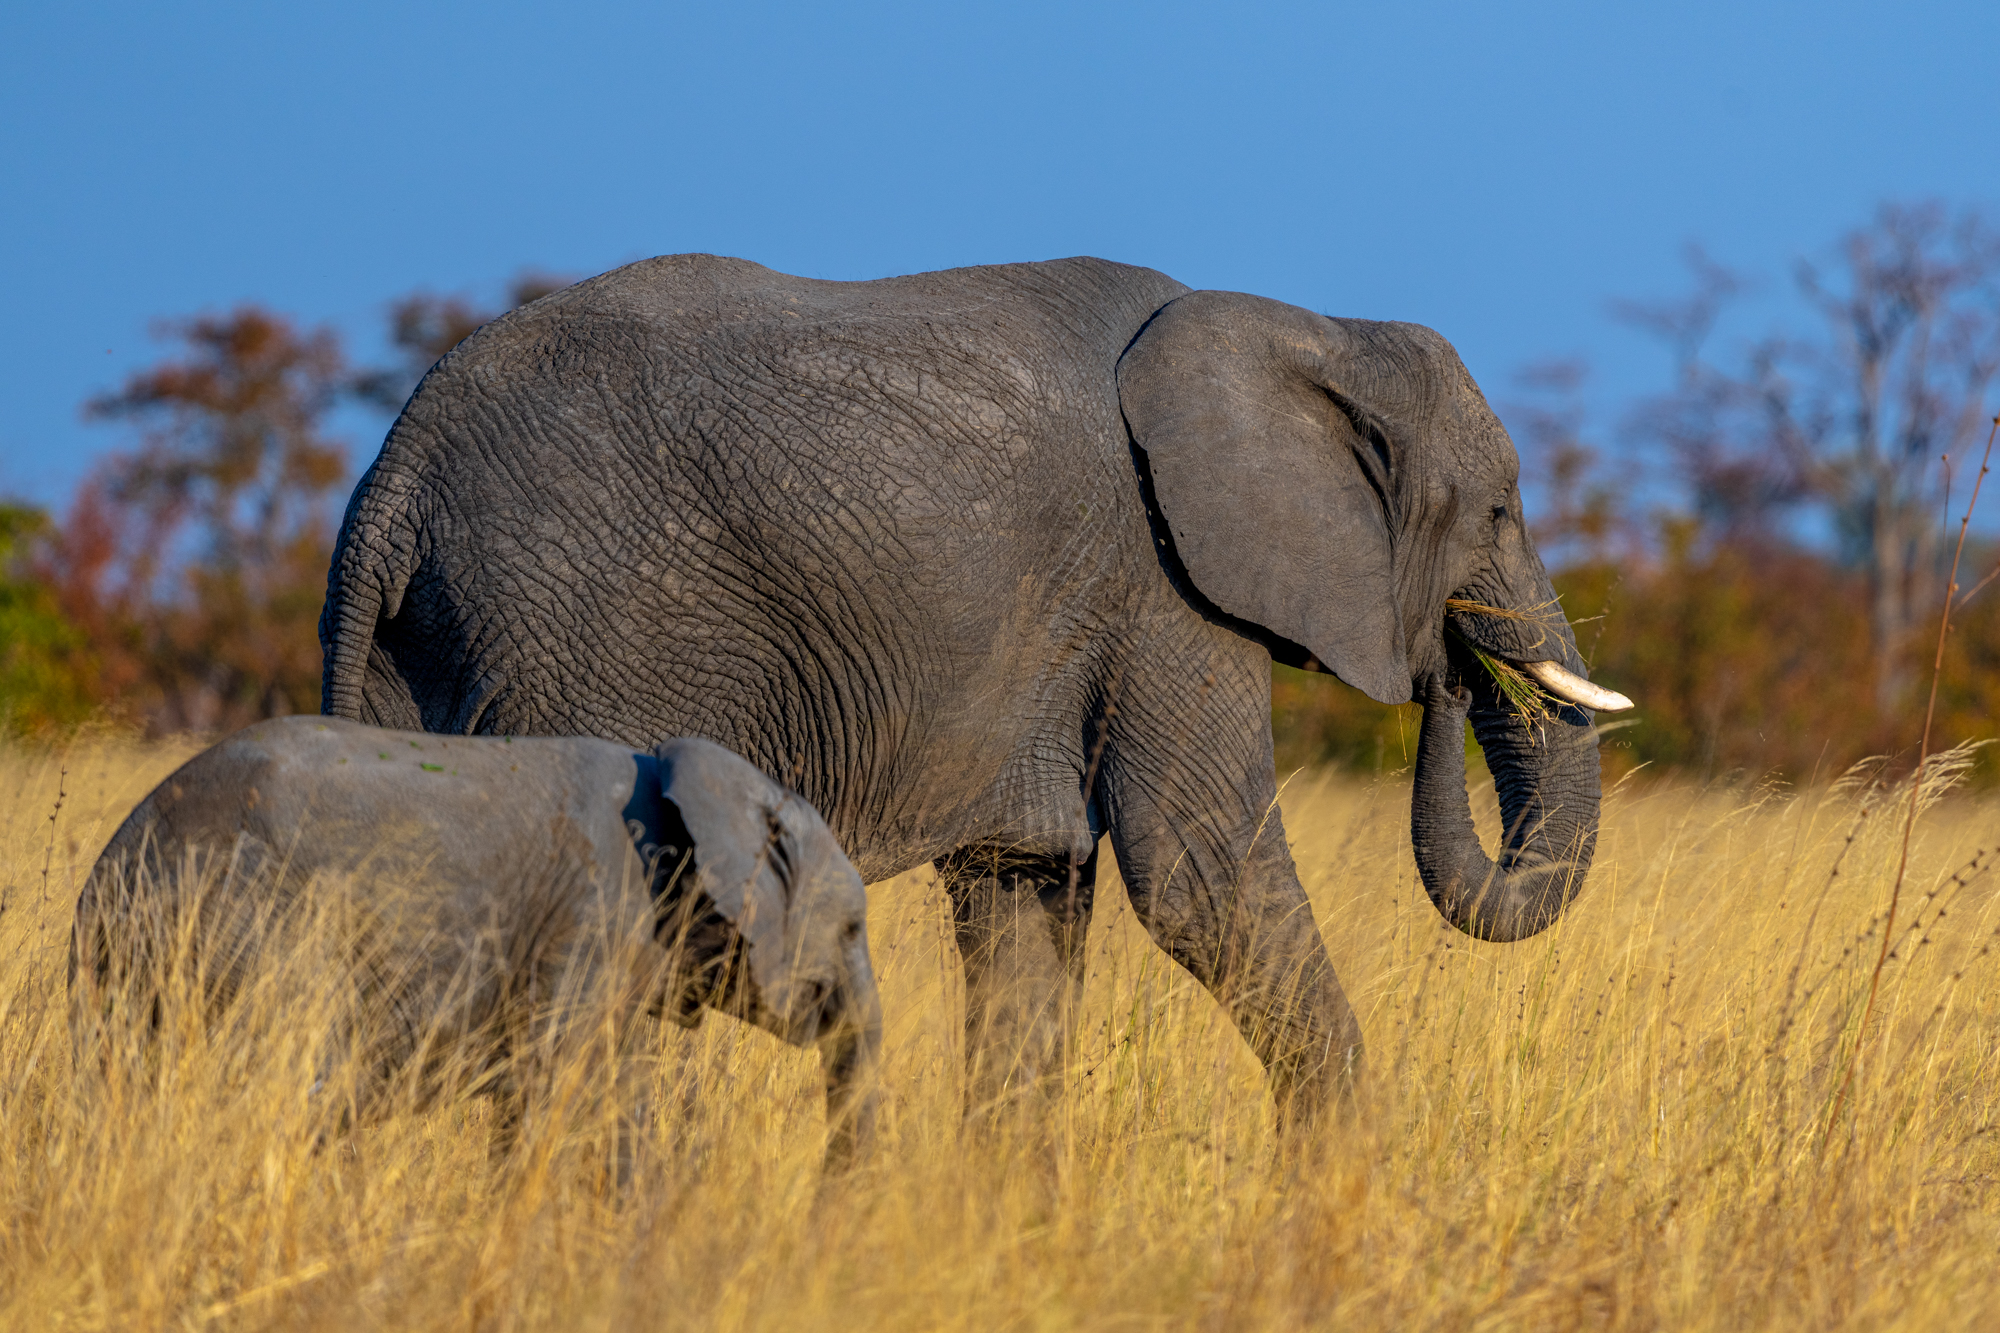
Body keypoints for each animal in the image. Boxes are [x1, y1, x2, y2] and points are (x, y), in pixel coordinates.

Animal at [318, 254, 1632, 1123]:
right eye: (1498, 511)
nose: (1450, 672)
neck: (1305, 325)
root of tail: (391, 482)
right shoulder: (1161, 583)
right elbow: (1198, 876)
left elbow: (1026, 904)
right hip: (586, 632)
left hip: (431, 658)